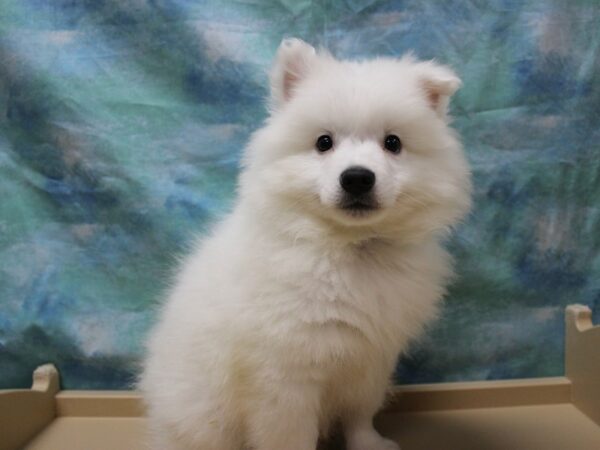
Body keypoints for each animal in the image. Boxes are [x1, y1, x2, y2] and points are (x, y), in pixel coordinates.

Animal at [142, 39, 474, 450]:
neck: (348, 248)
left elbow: (360, 415)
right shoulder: (285, 376)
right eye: (323, 143)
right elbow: (292, 434)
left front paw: (370, 444)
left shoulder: (371, 361)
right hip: (201, 415)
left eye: (393, 143)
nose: (357, 178)